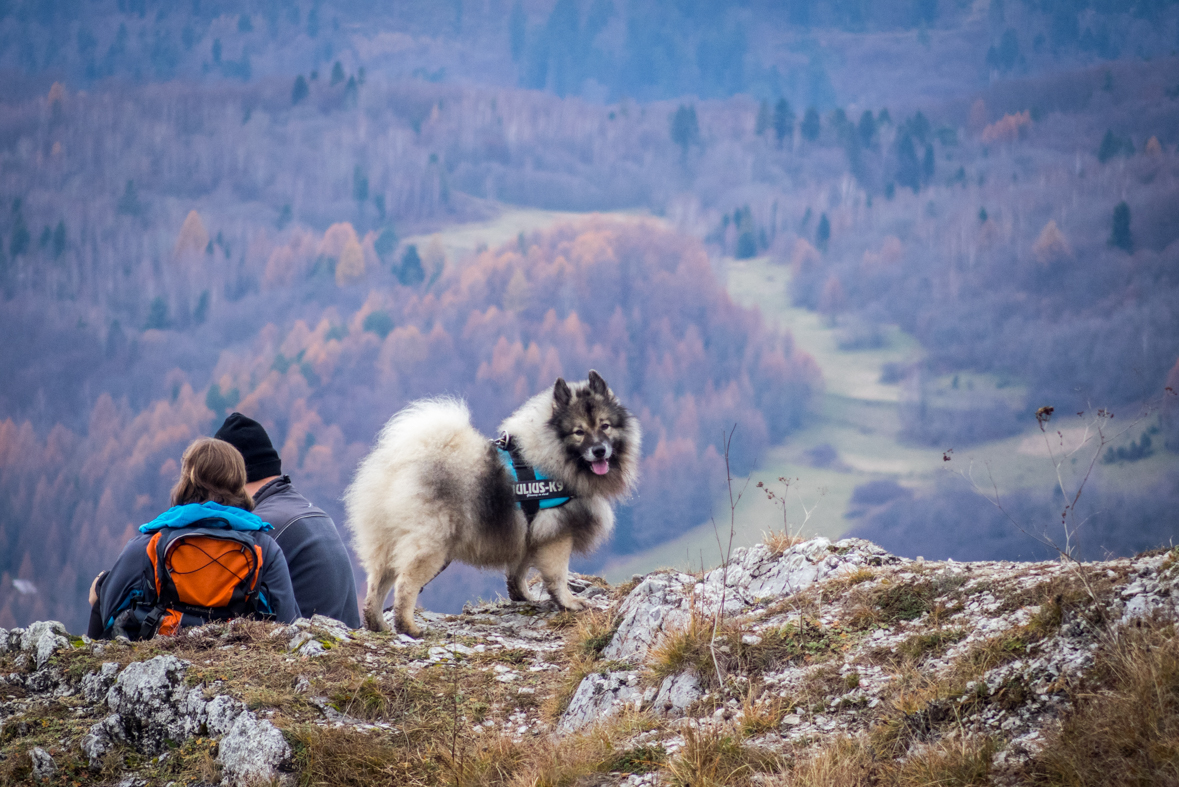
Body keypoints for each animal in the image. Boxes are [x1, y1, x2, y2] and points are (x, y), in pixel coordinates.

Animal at [344, 372, 641, 636]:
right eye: (579, 432)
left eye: (605, 426)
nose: (599, 450)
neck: (552, 453)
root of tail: (398, 466)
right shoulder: (556, 535)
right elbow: (557, 575)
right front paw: (569, 603)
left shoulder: (528, 533)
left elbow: (518, 572)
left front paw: (524, 597)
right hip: (431, 546)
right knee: (405, 585)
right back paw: (409, 628)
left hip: (386, 544)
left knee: (376, 587)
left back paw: (377, 625)